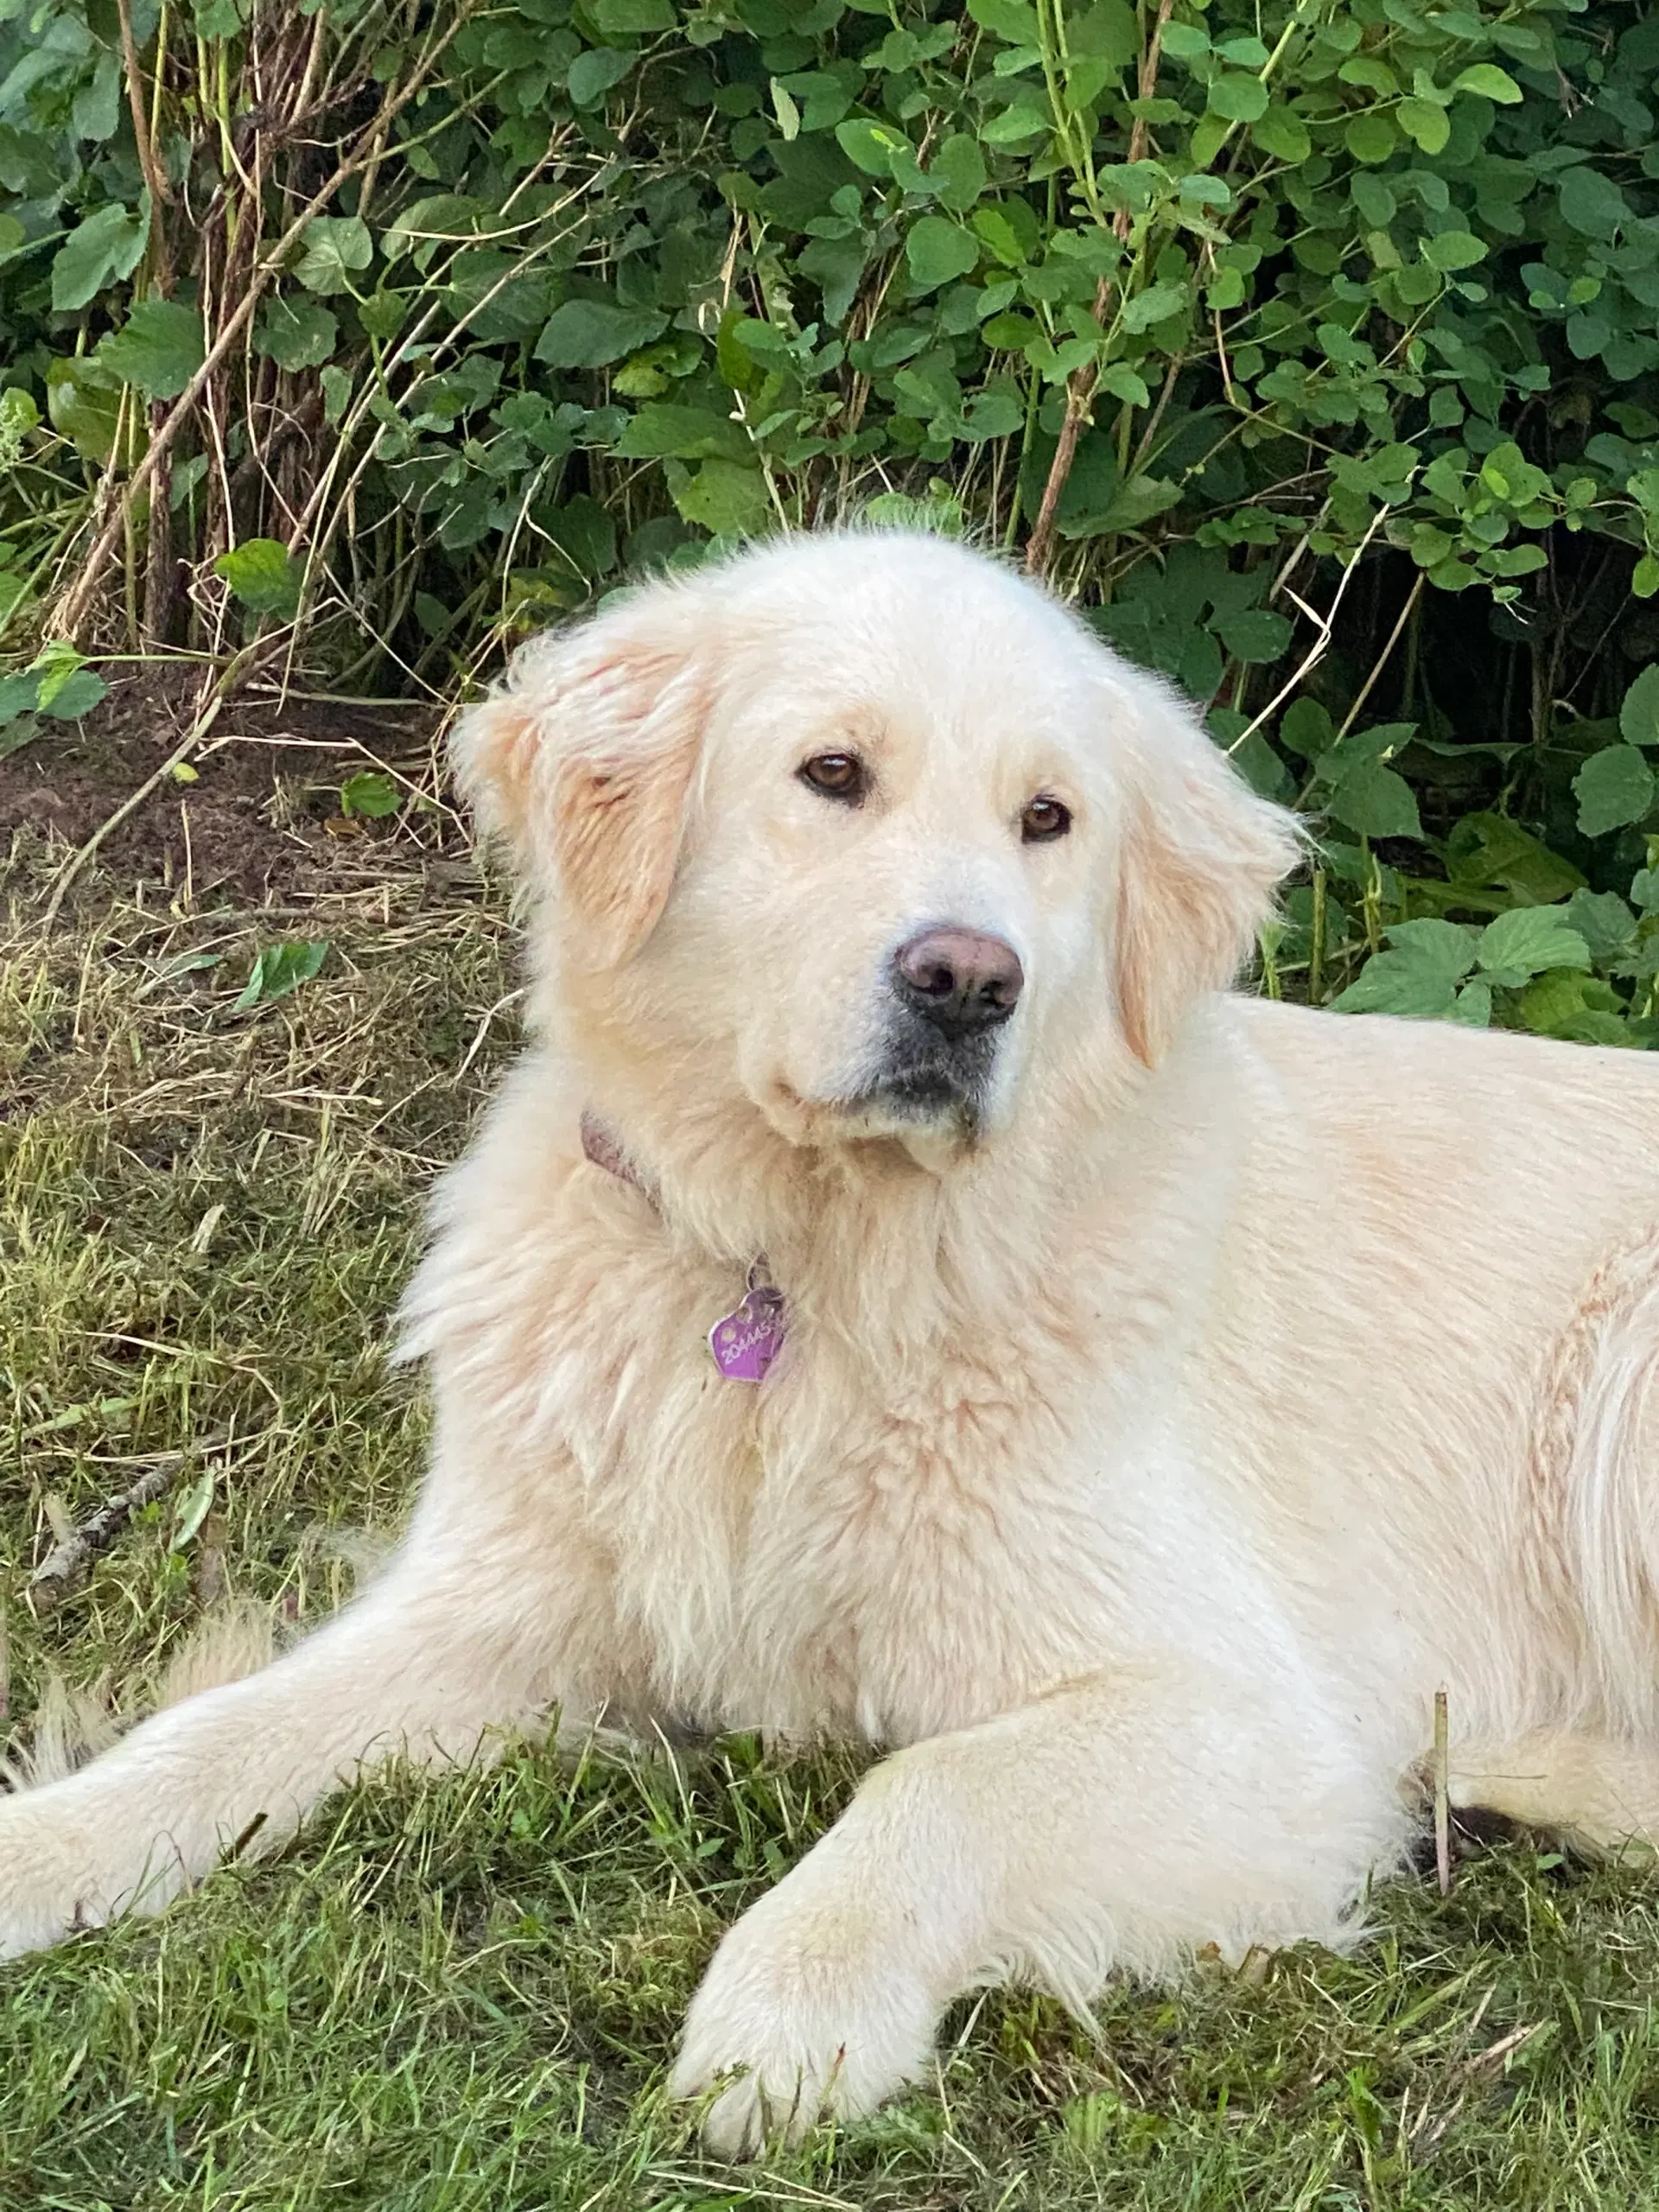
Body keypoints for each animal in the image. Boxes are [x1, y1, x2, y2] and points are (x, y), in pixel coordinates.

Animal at [10, 526, 1659, 2150]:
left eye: (1047, 819)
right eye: (832, 774)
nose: (967, 982)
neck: (800, 1268)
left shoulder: (1257, 1724)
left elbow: (939, 1780)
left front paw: (787, 2014)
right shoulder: (500, 1608)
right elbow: (223, 1730)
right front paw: (49, 1846)